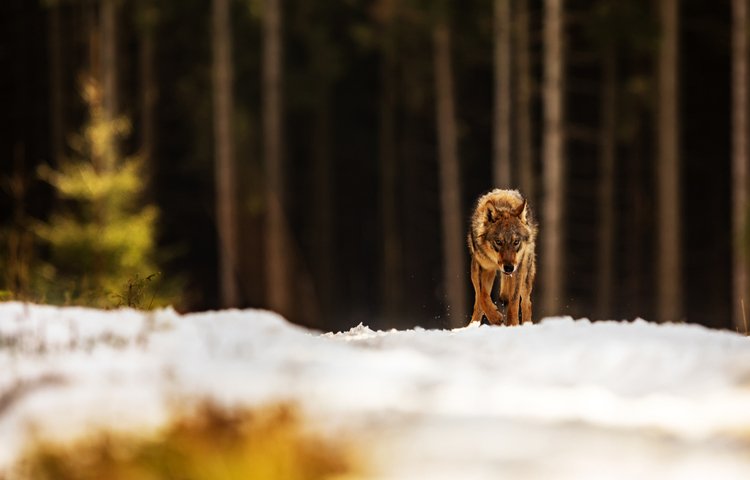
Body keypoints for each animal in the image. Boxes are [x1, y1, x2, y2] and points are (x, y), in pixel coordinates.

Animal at [468, 188, 536, 326]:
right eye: (498, 242)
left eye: (516, 242)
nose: (508, 268)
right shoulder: (481, 266)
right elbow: (482, 296)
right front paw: (495, 318)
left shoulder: (517, 269)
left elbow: (513, 302)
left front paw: (512, 324)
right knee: (478, 302)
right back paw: (472, 325)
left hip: (526, 273)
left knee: (526, 302)